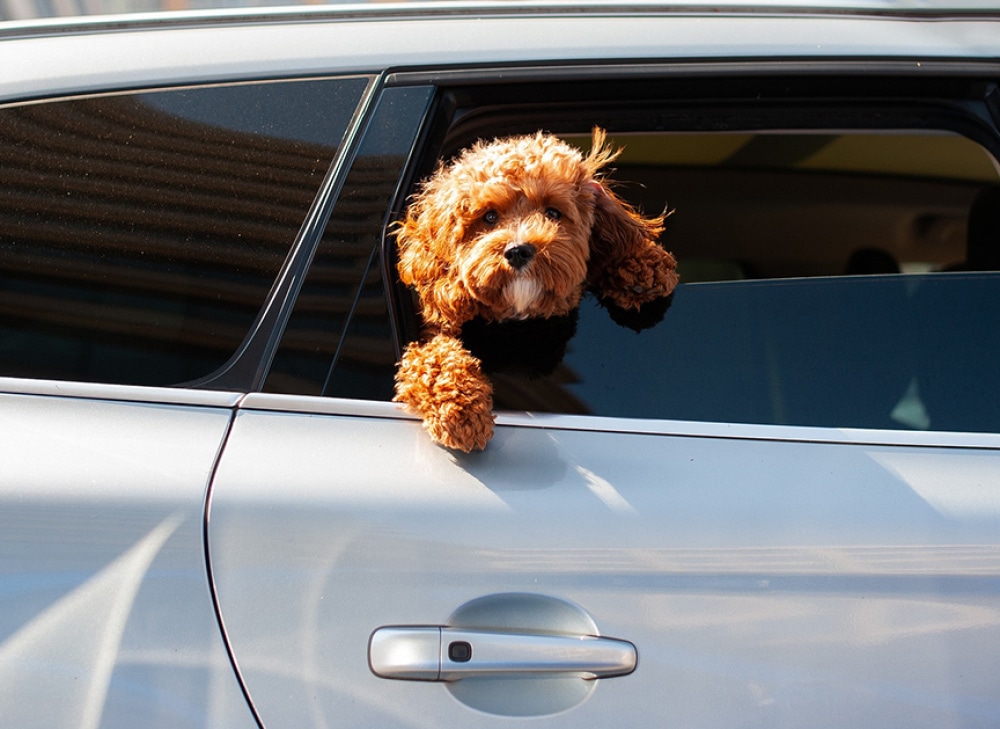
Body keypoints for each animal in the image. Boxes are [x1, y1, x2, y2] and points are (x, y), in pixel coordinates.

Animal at [394, 128, 676, 452]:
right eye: (489, 216)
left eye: (552, 212)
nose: (518, 251)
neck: (519, 320)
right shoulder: (429, 338)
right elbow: (433, 359)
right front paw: (461, 412)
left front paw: (643, 265)